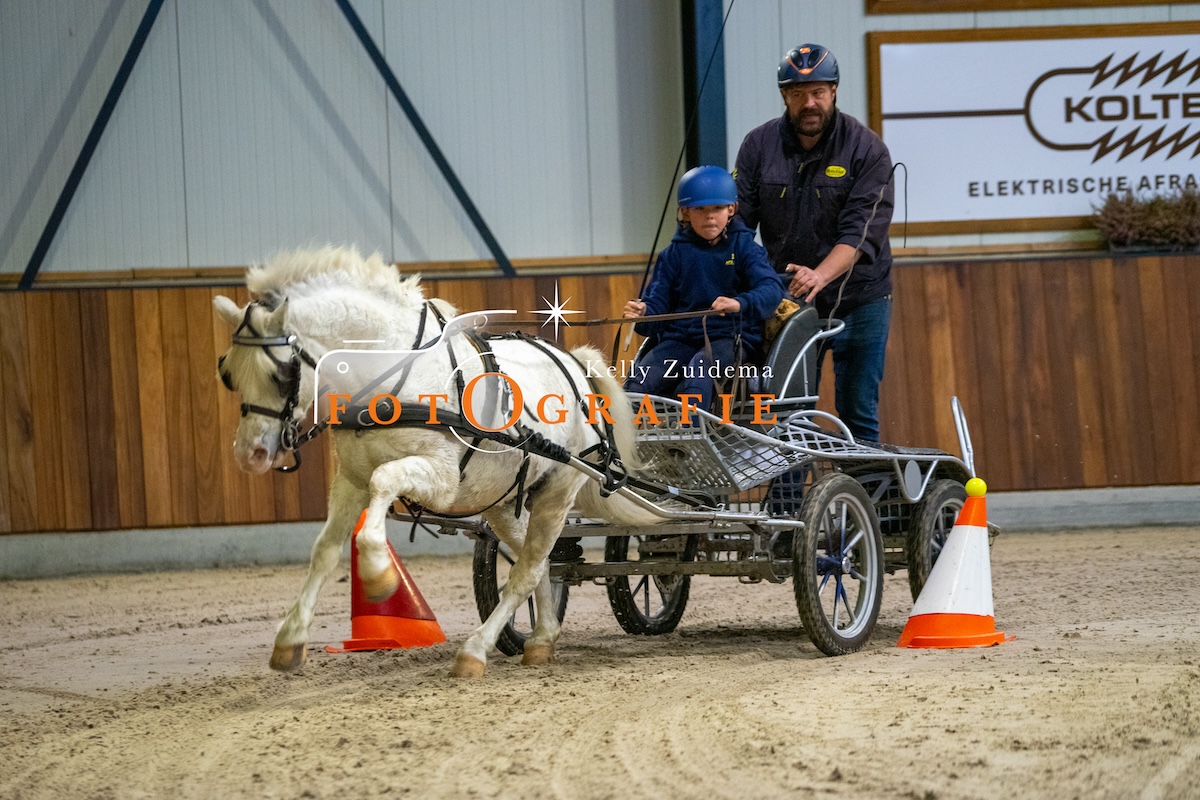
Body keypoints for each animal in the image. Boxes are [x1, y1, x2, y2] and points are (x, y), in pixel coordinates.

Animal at [219, 244, 662, 676]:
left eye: (281, 374)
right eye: (228, 373)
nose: (250, 454)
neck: (391, 370)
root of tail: (575, 365)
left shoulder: (441, 477)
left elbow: (383, 484)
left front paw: (378, 575)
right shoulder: (351, 479)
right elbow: (325, 551)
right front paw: (290, 640)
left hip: (558, 489)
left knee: (529, 567)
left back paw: (475, 650)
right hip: (500, 500)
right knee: (537, 563)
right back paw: (541, 638)